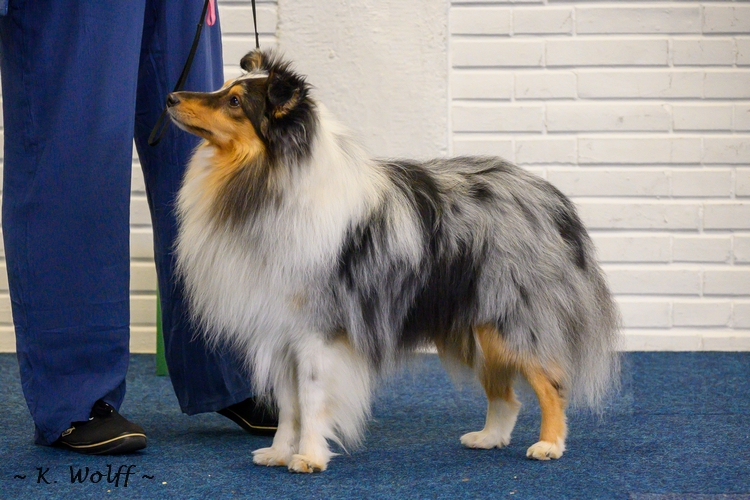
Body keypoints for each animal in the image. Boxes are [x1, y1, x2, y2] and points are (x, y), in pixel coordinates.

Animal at [170, 49, 624, 472]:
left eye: (234, 101)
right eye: (223, 89)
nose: (171, 97)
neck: (269, 180)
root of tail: (551, 198)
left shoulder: (317, 333)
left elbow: (312, 399)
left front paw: (310, 457)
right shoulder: (281, 330)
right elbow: (288, 405)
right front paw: (280, 453)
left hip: (512, 320)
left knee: (551, 383)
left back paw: (549, 445)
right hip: (478, 324)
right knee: (506, 394)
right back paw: (488, 437)